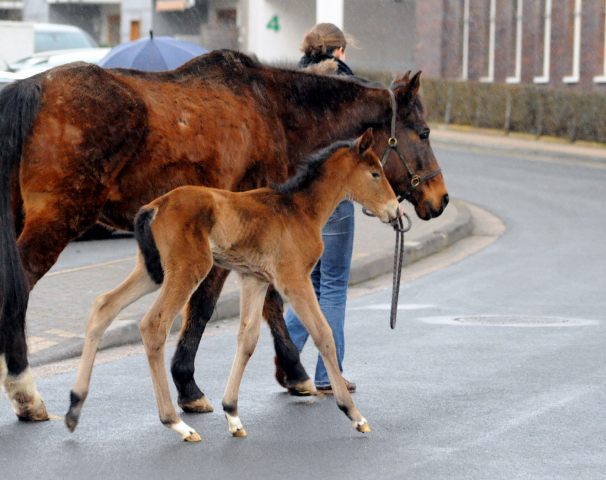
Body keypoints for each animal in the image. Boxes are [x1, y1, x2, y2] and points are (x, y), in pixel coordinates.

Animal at [66, 129, 402, 440]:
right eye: (375, 173)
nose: (395, 211)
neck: (299, 209)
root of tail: (156, 206)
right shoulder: (293, 279)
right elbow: (323, 333)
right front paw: (354, 415)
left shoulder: (255, 280)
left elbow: (247, 338)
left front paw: (232, 414)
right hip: (189, 267)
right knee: (153, 325)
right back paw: (176, 422)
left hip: (153, 270)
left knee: (104, 305)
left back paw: (74, 407)